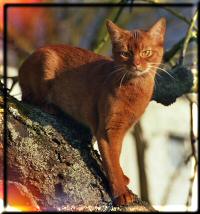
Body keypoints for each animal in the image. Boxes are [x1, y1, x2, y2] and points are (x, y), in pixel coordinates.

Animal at [18, 18, 166, 206]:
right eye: (125, 53)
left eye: (146, 52)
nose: (136, 64)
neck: (134, 89)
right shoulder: (107, 129)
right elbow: (112, 161)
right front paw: (121, 193)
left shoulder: (123, 128)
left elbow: (116, 155)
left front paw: (122, 177)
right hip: (46, 61)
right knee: (27, 97)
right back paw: (50, 107)